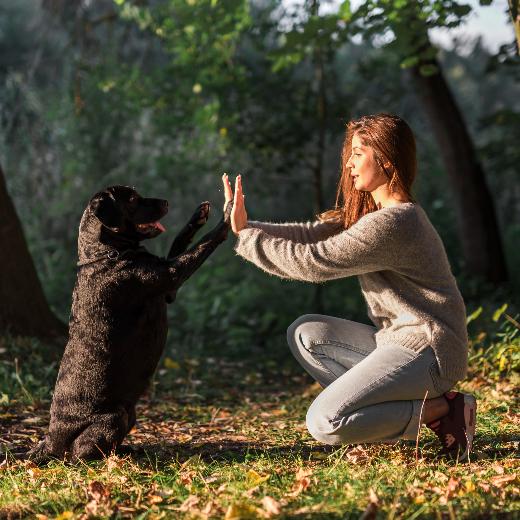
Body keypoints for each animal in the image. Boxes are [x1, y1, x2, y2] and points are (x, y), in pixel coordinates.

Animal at [27, 185, 232, 462]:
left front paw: (198, 216)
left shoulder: (169, 290)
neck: (107, 254)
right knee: (80, 453)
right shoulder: (172, 275)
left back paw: (128, 449)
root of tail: (50, 441)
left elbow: (180, 241)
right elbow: (202, 245)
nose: (166, 201)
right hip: (114, 417)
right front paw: (228, 217)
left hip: (130, 413)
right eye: (133, 199)